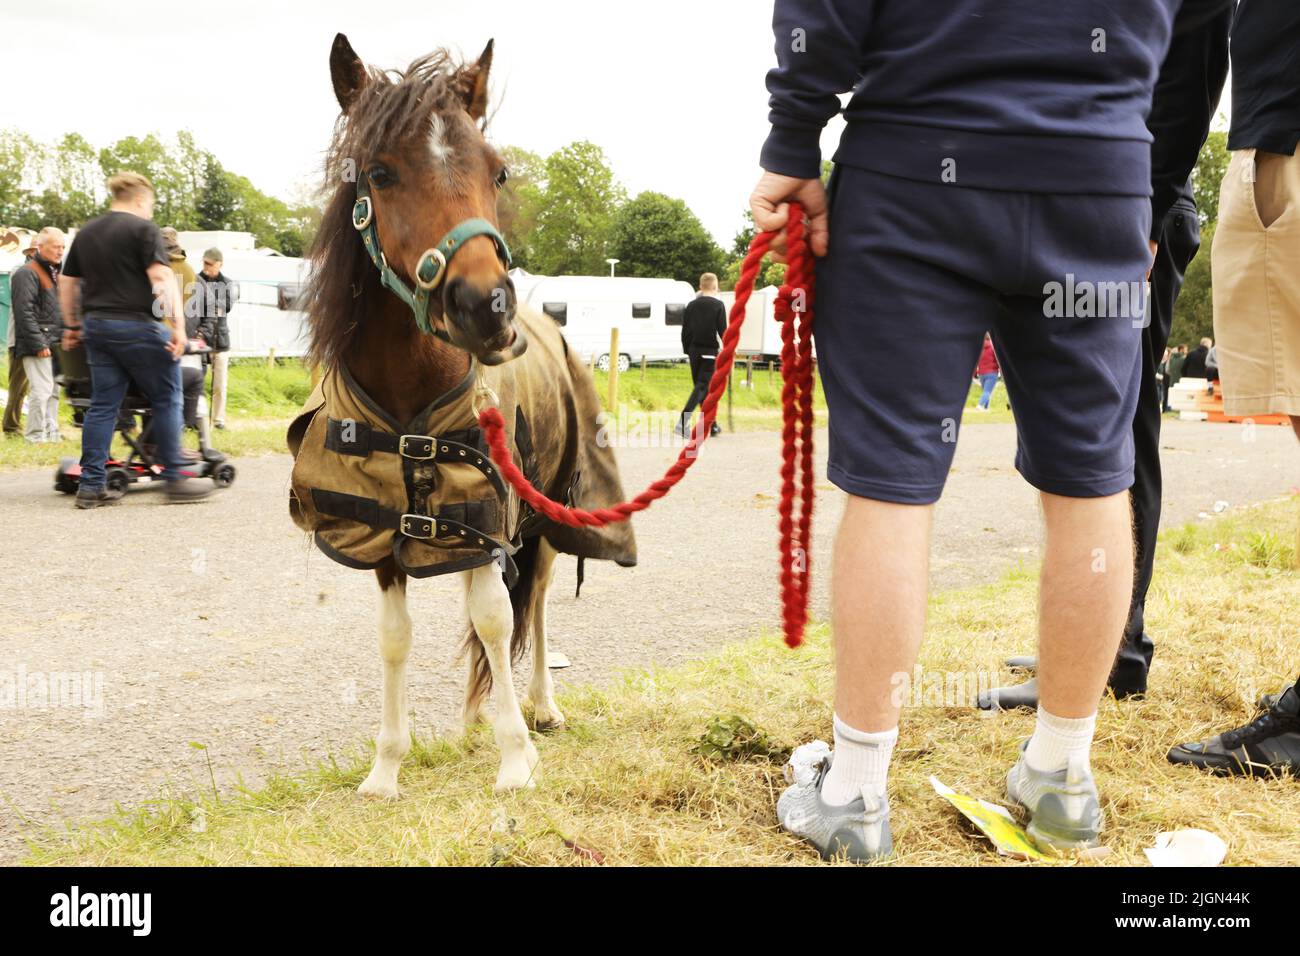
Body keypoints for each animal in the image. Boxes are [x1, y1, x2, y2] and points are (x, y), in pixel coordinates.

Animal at [288, 34, 636, 795]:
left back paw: (540, 708)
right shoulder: (389, 533)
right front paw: (386, 768)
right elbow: (398, 637)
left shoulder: (487, 518)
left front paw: (515, 759)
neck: (411, 396)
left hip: (543, 516)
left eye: (497, 172)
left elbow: (496, 621)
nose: (486, 306)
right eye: (380, 172)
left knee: (533, 601)